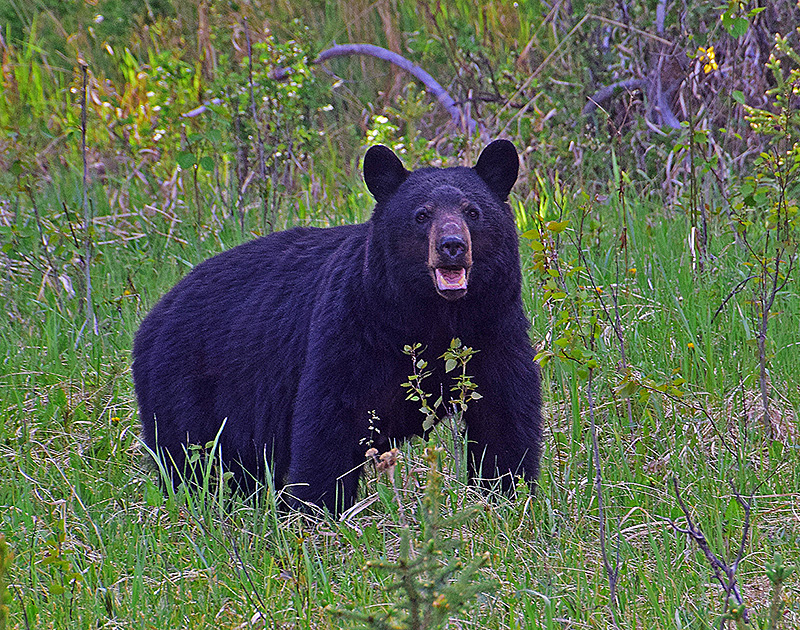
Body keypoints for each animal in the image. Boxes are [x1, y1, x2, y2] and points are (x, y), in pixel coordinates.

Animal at [133, 141, 544, 516]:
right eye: (421, 214)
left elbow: (504, 416)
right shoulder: (353, 332)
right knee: (190, 459)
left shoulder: (493, 330)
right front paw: (317, 511)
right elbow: (330, 419)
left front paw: (508, 495)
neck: (433, 318)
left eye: (473, 211)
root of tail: (154, 315)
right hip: (186, 386)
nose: (452, 245)